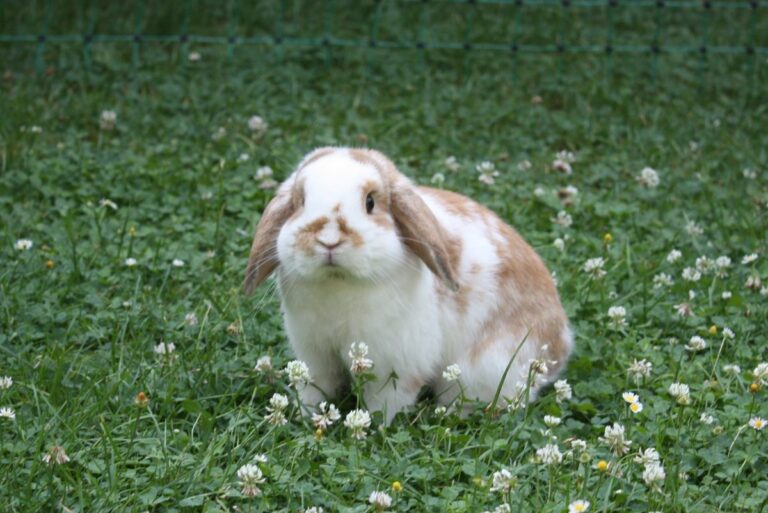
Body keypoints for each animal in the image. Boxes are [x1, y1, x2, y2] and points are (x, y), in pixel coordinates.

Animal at [244, 147, 573, 423]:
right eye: (300, 202)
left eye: (370, 202)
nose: (328, 240)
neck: (338, 284)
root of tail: (560, 346)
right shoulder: (314, 355)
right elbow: (315, 389)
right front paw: (305, 416)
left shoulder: (397, 364)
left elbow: (386, 402)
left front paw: (376, 426)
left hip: (483, 370)